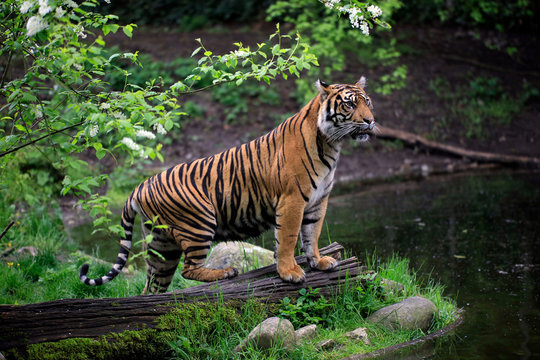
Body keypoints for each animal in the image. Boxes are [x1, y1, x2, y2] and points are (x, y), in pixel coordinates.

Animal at [80, 76, 376, 292]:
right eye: (349, 105)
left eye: (368, 102)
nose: (370, 121)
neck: (331, 143)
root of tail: (139, 187)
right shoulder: (292, 200)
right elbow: (289, 238)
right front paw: (290, 272)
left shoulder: (318, 201)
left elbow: (312, 234)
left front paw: (319, 262)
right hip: (198, 222)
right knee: (189, 269)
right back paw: (226, 272)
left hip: (161, 244)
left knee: (153, 285)